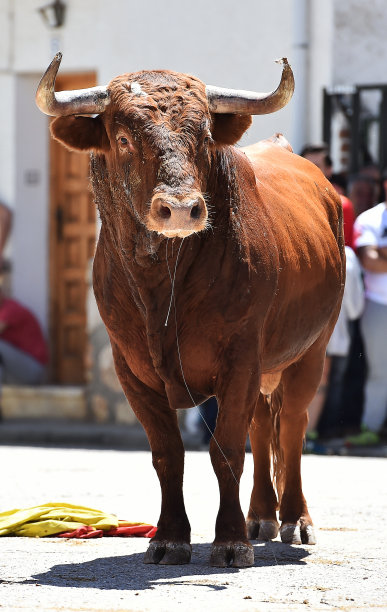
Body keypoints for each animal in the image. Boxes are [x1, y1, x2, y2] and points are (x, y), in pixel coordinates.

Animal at [36, 53, 346, 568]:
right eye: (123, 138)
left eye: (202, 135)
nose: (181, 209)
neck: (163, 283)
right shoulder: (131, 368)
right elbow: (169, 454)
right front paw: (169, 538)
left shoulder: (240, 359)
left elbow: (226, 452)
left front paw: (230, 541)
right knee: (262, 429)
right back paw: (260, 515)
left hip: (311, 352)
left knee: (291, 429)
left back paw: (293, 520)